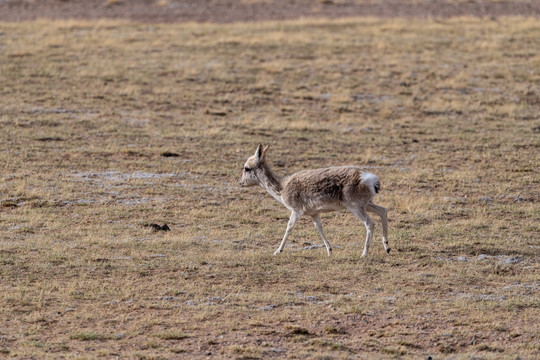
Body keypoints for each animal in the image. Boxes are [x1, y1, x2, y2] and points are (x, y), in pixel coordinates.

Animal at [238, 145, 390, 258]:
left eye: (247, 168)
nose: (240, 182)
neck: (283, 186)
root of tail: (368, 177)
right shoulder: (314, 213)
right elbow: (319, 227)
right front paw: (329, 251)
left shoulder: (296, 211)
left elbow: (289, 227)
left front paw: (277, 251)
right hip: (367, 204)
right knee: (383, 210)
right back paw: (387, 247)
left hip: (356, 208)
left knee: (370, 223)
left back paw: (364, 254)